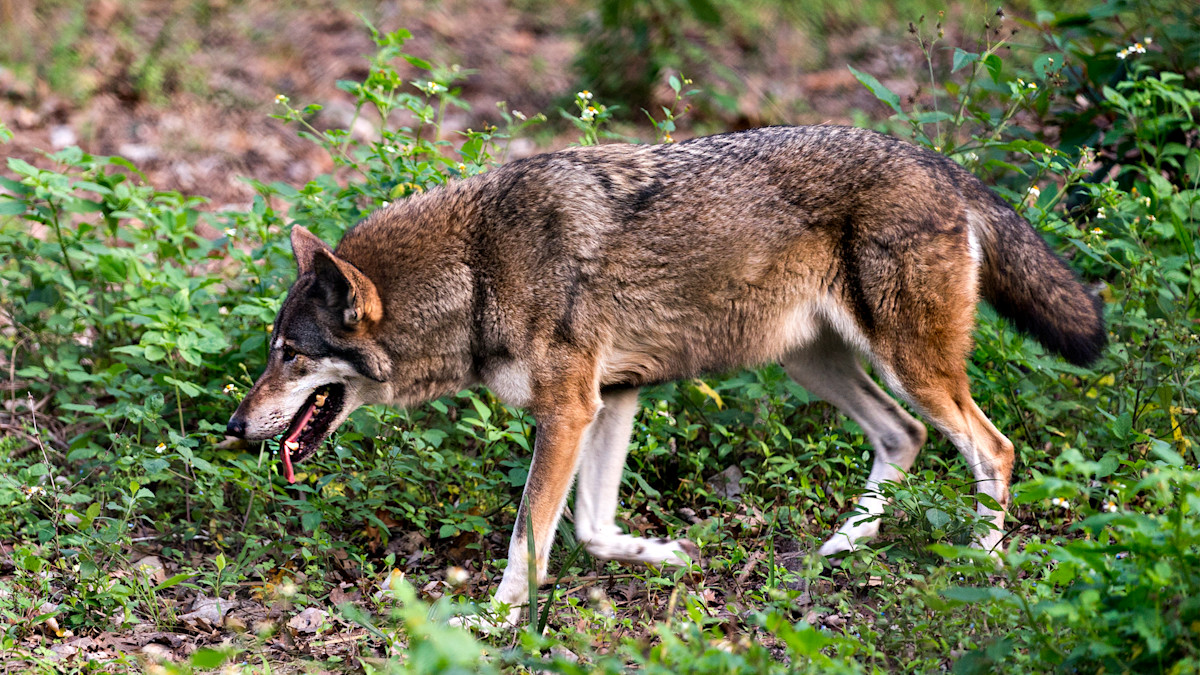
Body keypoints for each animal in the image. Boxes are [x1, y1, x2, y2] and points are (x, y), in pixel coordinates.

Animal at [225, 125, 1105, 625]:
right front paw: (668, 556)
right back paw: (842, 544)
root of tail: (944, 163)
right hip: (811, 361)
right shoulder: (611, 398)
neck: (477, 269)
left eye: (290, 354)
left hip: (904, 363)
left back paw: (981, 566)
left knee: (992, 448)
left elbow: (528, 537)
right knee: (906, 434)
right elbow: (589, 527)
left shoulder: (569, 409)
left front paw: (495, 622)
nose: (234, 427)